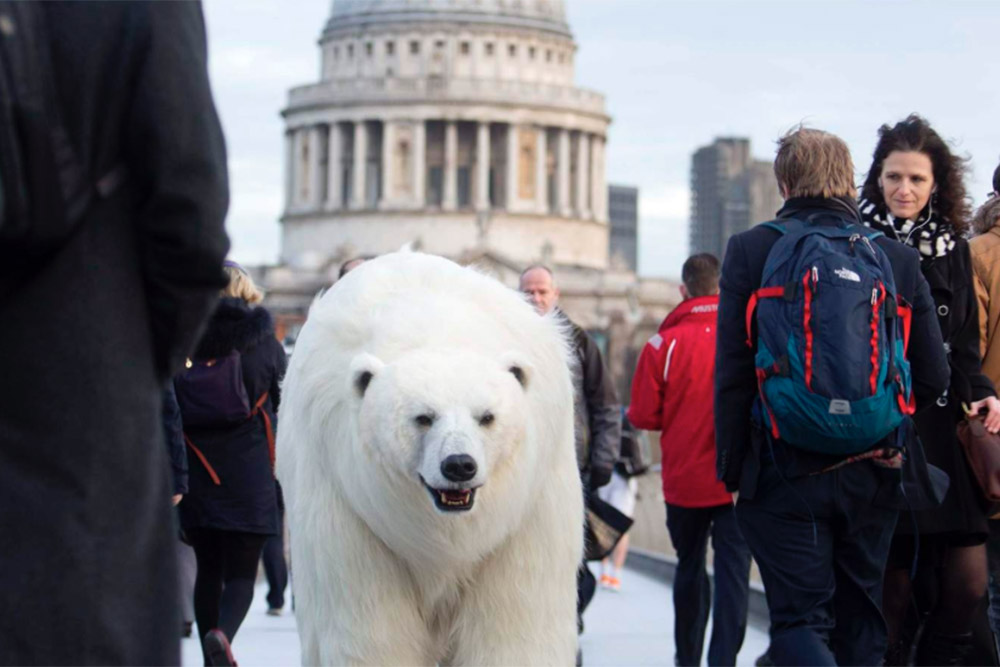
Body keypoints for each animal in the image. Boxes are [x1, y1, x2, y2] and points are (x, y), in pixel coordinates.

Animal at [278, 253, 584, 664]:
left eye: (487, 416)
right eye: (423, 417)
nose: (458, 465)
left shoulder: (528, 508)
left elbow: (515, 619)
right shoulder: (348, 506)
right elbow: (370, 628)